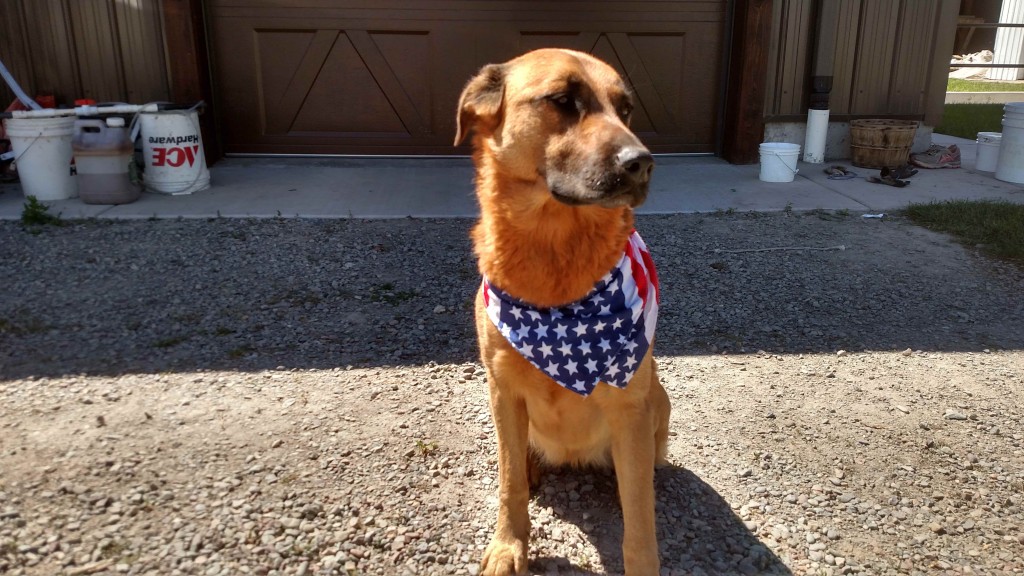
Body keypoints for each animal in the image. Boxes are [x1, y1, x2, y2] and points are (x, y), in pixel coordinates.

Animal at [456, 49, 671, 573]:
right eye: (562, 100)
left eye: (626, 108)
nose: (643, 164)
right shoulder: (502, 388)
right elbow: (509, 483)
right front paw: (509, 545)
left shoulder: (630, 405)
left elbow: (640, 522)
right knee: (517, 460)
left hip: (657, 402)